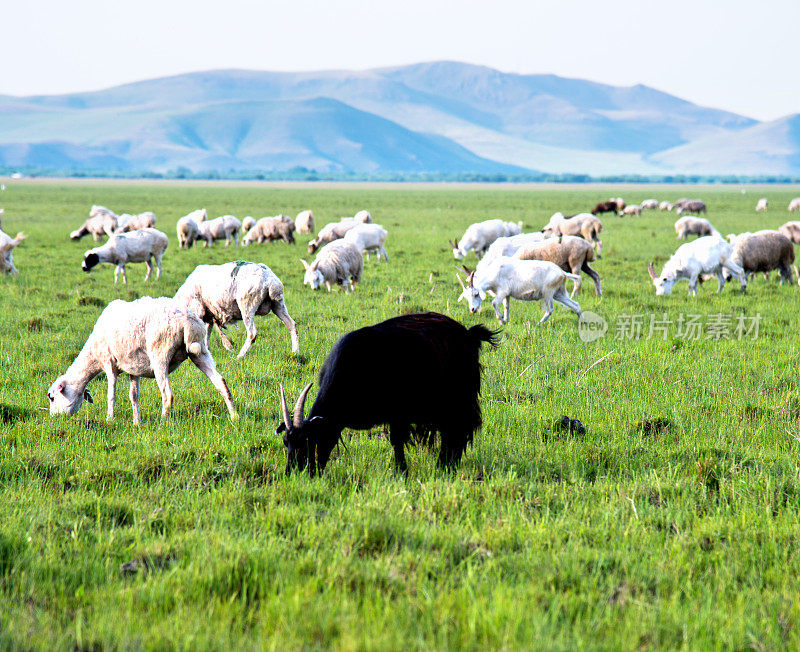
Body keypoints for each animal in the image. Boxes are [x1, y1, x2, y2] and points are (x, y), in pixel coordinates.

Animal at [47, 296, 238, 428]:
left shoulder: (108, 363)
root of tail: (187, 319)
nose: (54, 419)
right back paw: (234, 416)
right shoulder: (134, 368)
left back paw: (162, 424)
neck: (92, 355)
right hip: (201, 351)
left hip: (160, 355)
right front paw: (136, 422)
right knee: (221, 382)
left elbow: (111, 395)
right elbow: (133, 395)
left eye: (52, 397)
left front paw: (109, 419)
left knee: (167, 394)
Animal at [276, 312, 500, 474]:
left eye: (306, 441)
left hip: (459, 399)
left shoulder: (398, 413)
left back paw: (446, 467)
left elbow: (396, 442)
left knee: (458, 430)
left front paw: (402, 472)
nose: (291, 473)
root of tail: (469, 334)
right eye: (286, 442)